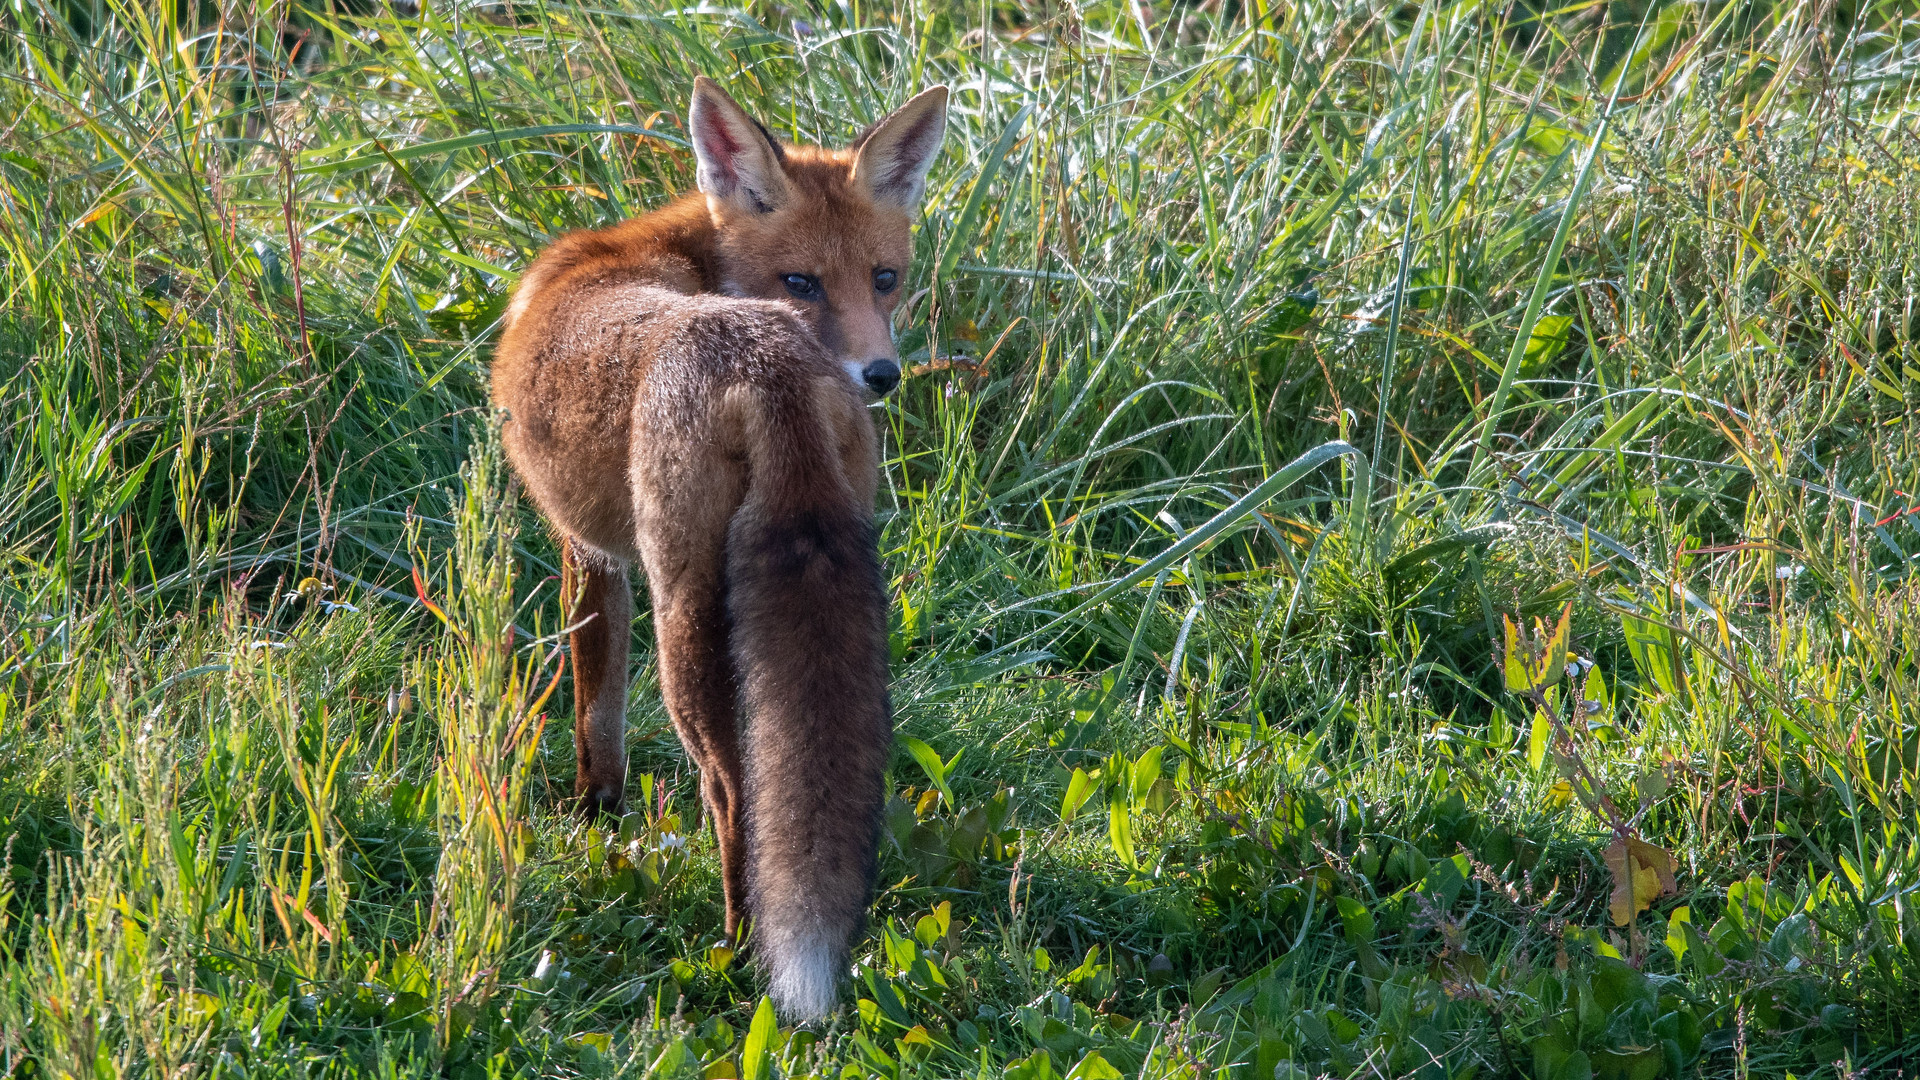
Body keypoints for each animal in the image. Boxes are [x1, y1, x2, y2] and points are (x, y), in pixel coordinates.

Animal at [491, 77, 948, 1014]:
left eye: (883, 278)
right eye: (801, 280)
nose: (881, 375)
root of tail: (769, 360)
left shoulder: (589, 551)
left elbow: (595, 711)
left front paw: (595, 815)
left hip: (685, 609)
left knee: (731, 786)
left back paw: (738, 951)